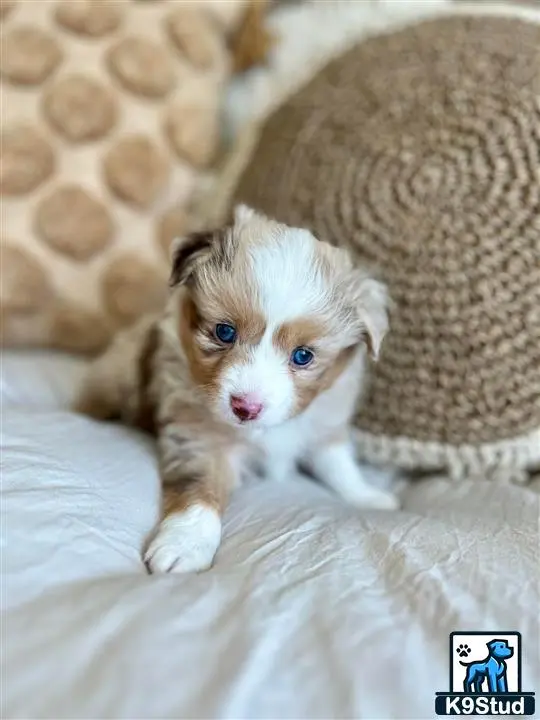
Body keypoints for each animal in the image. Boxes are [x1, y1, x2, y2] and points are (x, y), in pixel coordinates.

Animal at [74, 204, 398, 572]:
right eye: (224, 332)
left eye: (303, 356)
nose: (246, 407)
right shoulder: (199, 437)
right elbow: (198, 491)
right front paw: (186, 543)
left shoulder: (325, 419)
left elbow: (338, 464)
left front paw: (366, 495)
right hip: (117, 374)